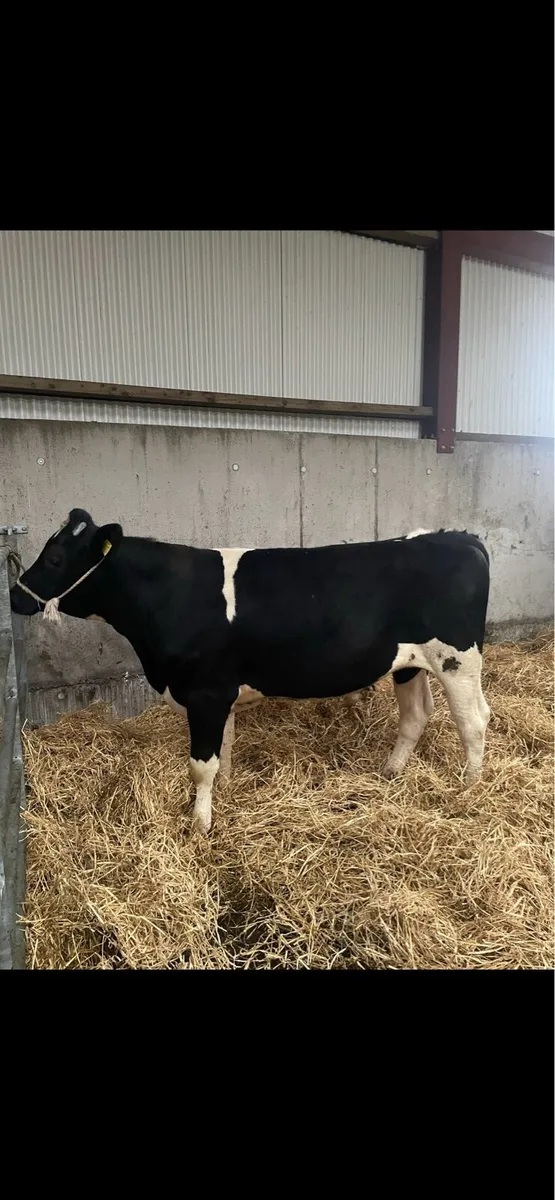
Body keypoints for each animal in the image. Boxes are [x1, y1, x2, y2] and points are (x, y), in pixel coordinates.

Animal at [10, 510, 491, 835]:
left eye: (55, 558)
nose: (14, 596)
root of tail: (456, 537)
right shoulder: (218, 694)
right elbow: (223, 749)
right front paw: (222, 792)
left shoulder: (204, 693)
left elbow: (200, 765)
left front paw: (200, 823)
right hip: (410, 664)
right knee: (416, 714)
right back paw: (390, 773)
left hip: (458, 659)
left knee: (474, 721)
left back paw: (469, 788)